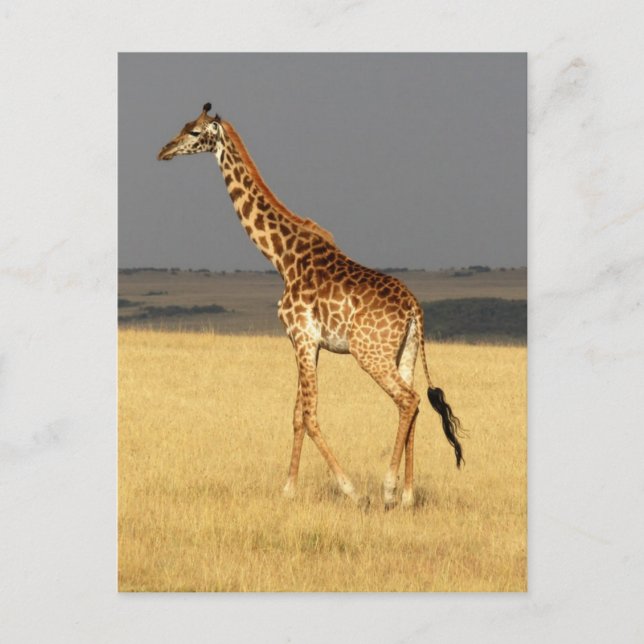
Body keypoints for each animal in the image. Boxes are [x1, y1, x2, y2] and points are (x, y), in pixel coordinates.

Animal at [158, 103, 463, 510]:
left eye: (194, 132)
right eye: (183, 126)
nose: (164, 151)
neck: (282, 257)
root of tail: (415, 308)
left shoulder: (302, 337)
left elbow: (310, 413)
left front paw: (350, 490)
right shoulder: (305, 342)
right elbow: (296, 415)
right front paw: (288, 489)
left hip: (371, 353)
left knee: (407, 399)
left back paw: (387, 490)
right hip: (406, 352)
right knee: (412, 406)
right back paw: (408, 497)